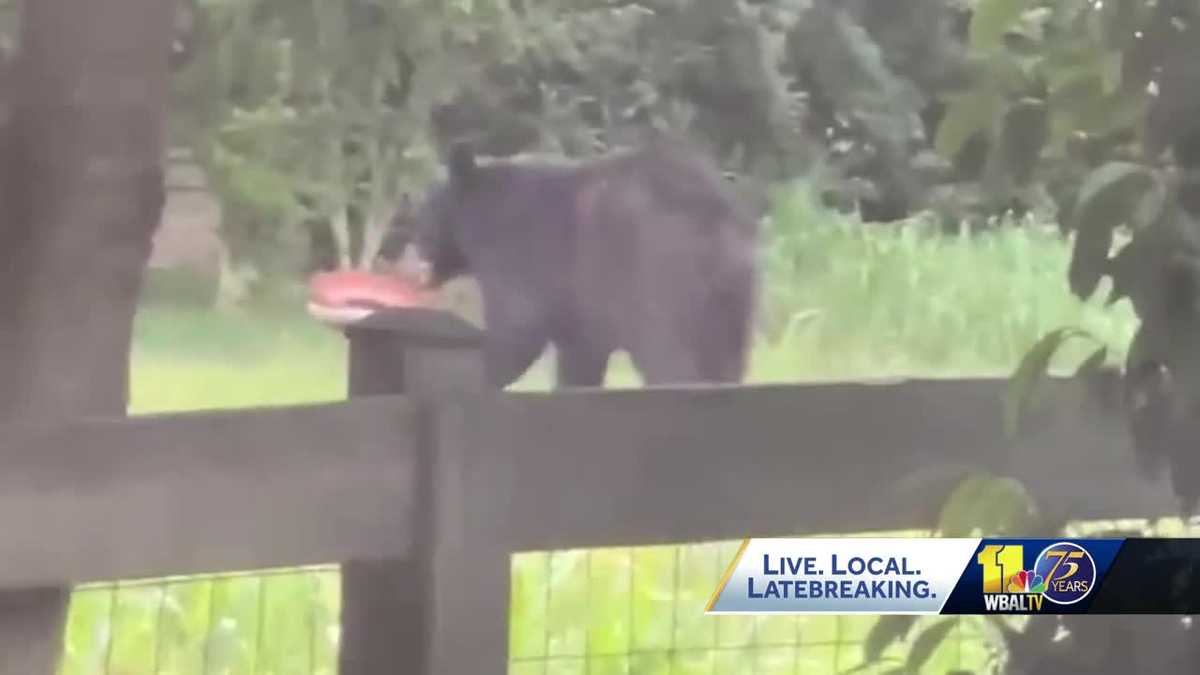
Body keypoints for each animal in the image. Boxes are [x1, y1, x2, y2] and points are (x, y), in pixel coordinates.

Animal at [381, 139, 758, 386]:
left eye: (423, 209)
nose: (400, 259)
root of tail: (715, 216)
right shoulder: (581, 314)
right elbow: (578, 359)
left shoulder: (520, 254)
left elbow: (516, 331)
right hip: (731, 299)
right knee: (724, 362)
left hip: (657, 280)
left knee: (670, 359)